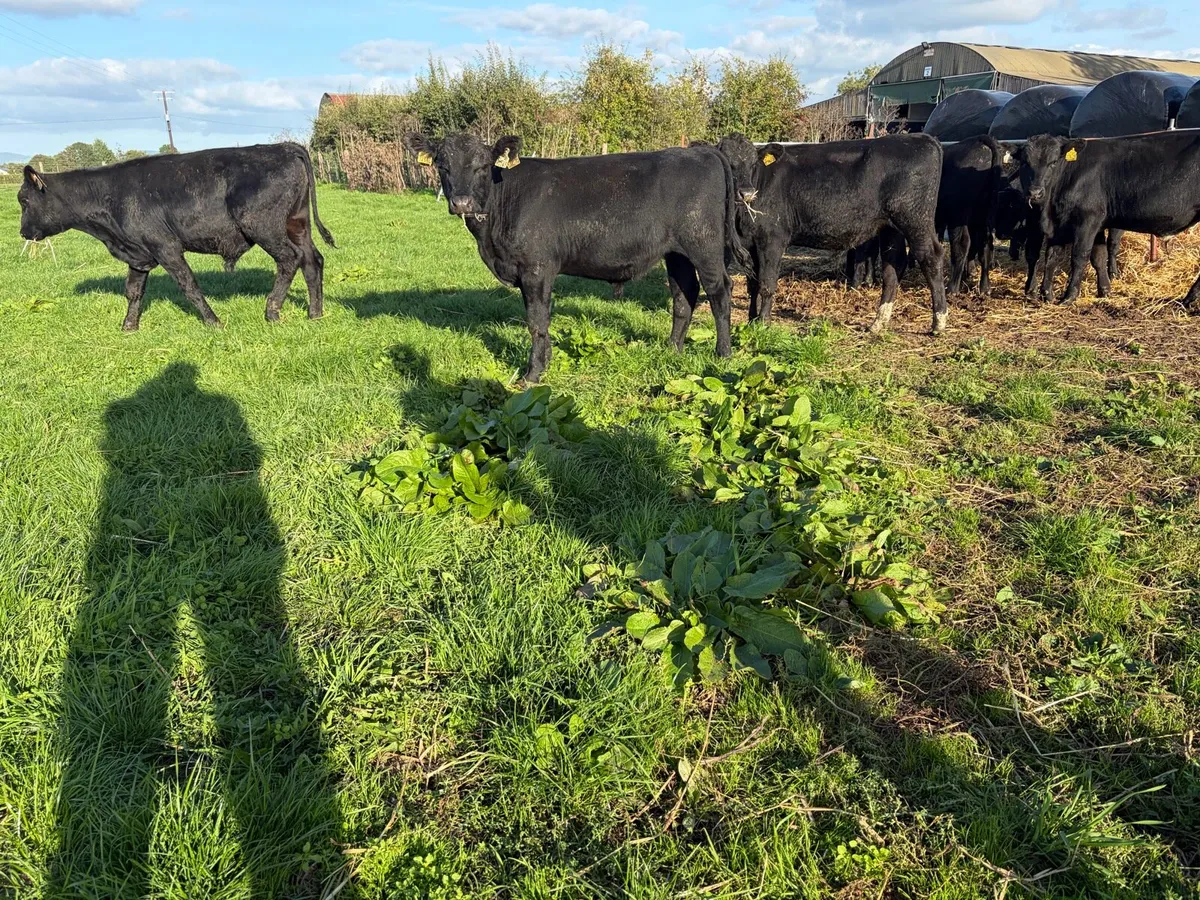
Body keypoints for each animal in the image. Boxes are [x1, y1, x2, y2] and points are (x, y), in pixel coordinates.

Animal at [16, 143, 334, 331]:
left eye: (24, 200)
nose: (22, 232)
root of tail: (283, 146)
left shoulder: (166, 247)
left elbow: (189, 286)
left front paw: (213, 322)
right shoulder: (138, 253)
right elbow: (133, 291)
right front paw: (129, 325)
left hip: (264, 227)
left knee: (289, 259)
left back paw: (272, 311)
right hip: (297, 224)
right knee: (312, 260)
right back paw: (315, 313)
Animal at [404, 132, 750, 382]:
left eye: (482, 166)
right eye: (442, 166)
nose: (462, 202)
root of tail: (703, 151)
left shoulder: (537, 268)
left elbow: (536, 321)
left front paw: (533, 374)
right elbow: (540, 321)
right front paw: (545, 362)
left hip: (704, 245)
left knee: (719, 292)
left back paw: (723, 353)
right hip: (676, 253)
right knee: (684, 294)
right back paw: (672, 349)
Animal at [716, 132, 947, 335]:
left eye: (753, 164)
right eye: (727, 163)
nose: (746, 193)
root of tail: (923, 138)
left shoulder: (772, 239)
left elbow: (766, 283)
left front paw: (764, 322)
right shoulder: (751, 243)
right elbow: (753, 285)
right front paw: (751, 320)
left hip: (915, 220)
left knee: (931, 257)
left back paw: (939, 322)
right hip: (891, 228)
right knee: (893, 266)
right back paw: (878, 323)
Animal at [937, 136, 1002, 297]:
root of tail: (980, 140)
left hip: (958, 215)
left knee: (962, 243)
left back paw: (953, 288)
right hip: (982, 213)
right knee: (985, 244)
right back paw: (984, 287)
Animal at [1016, 132, 1197, 306]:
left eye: (1053, 162)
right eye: (1025, 163)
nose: (1035, 193)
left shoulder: (1087, 220)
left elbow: (1080, 256)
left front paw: (1069, 296)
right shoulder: (1074, 224)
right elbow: (1087, 257)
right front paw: (1103, 290)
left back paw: (1190, 298)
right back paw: (1189, 299)